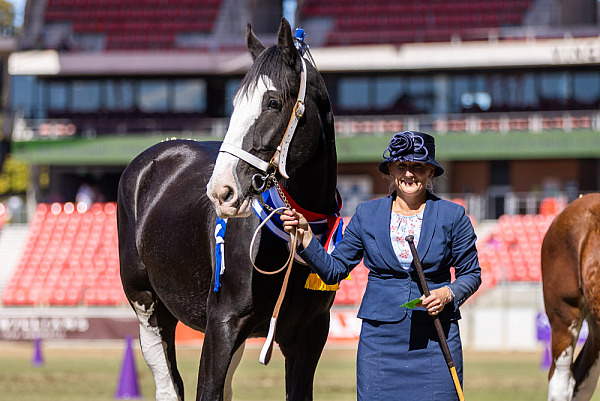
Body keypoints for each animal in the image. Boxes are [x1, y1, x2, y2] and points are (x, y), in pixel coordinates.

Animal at [117, 18, 338, 400]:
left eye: (273, 102)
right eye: (234, 104)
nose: (222, 191)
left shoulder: (308, 336)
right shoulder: (222, 325)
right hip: (147, 305)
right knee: (168, 385)